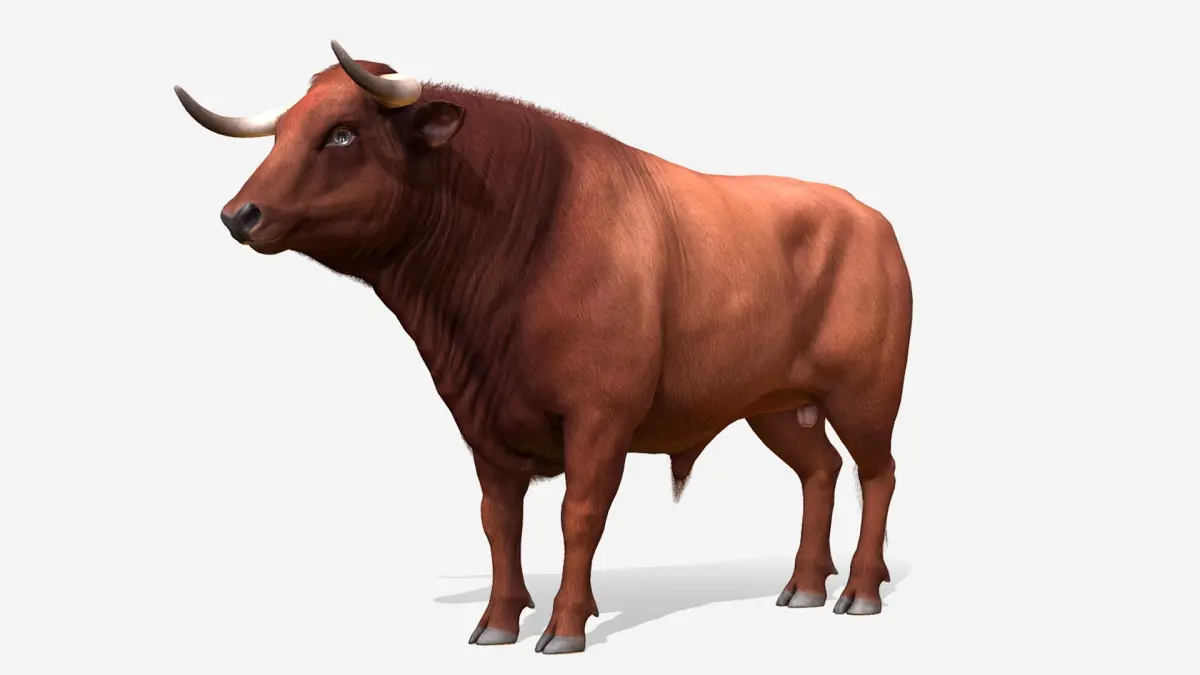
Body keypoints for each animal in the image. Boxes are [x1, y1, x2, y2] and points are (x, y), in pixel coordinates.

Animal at [174, 41, 914, 654]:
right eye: (283, 133)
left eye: (342, 133)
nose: (238, 214)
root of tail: (866, 215)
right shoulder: (481, 422)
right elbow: (499, 521)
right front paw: (497, 622)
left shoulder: (599, 418)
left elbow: (577, 517)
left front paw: (564, 626)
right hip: (777, 404)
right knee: (819, 471)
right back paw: (805, 585)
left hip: (865, 394)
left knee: (877, 473)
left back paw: (859, 592)